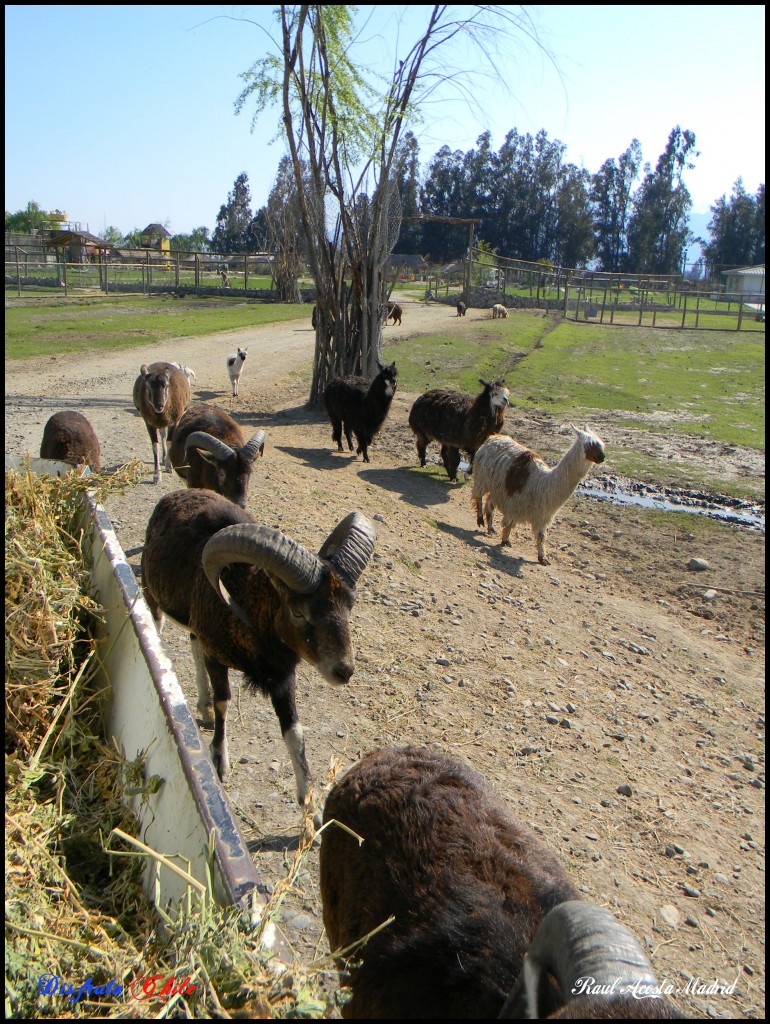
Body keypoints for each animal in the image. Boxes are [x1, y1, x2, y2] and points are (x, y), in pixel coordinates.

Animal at [143, 491, 376, 819]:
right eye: (297, 611)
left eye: (349, 606)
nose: (343, 670)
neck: (245, 605)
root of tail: (175, 495)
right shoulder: (217, 657)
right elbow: (224, 702)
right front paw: (219, 761)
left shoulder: (283, 677)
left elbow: (295, 732)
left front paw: (310, 804)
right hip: (151, 593)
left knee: (193, 642)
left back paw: (203, 709)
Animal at [473, 425, 606, 569]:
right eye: (590, 445)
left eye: (601, 445)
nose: (602, 457)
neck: (544, 485)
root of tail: (494, 437)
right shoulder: (516, 503)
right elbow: (509, 523)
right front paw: (505, 540)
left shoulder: (543, 515)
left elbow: (541, 536)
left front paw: (543, 558)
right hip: (482, 476)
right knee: (478, 496)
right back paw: (480, 519)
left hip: (497, 486)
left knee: (489, 504)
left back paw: (491, 528)